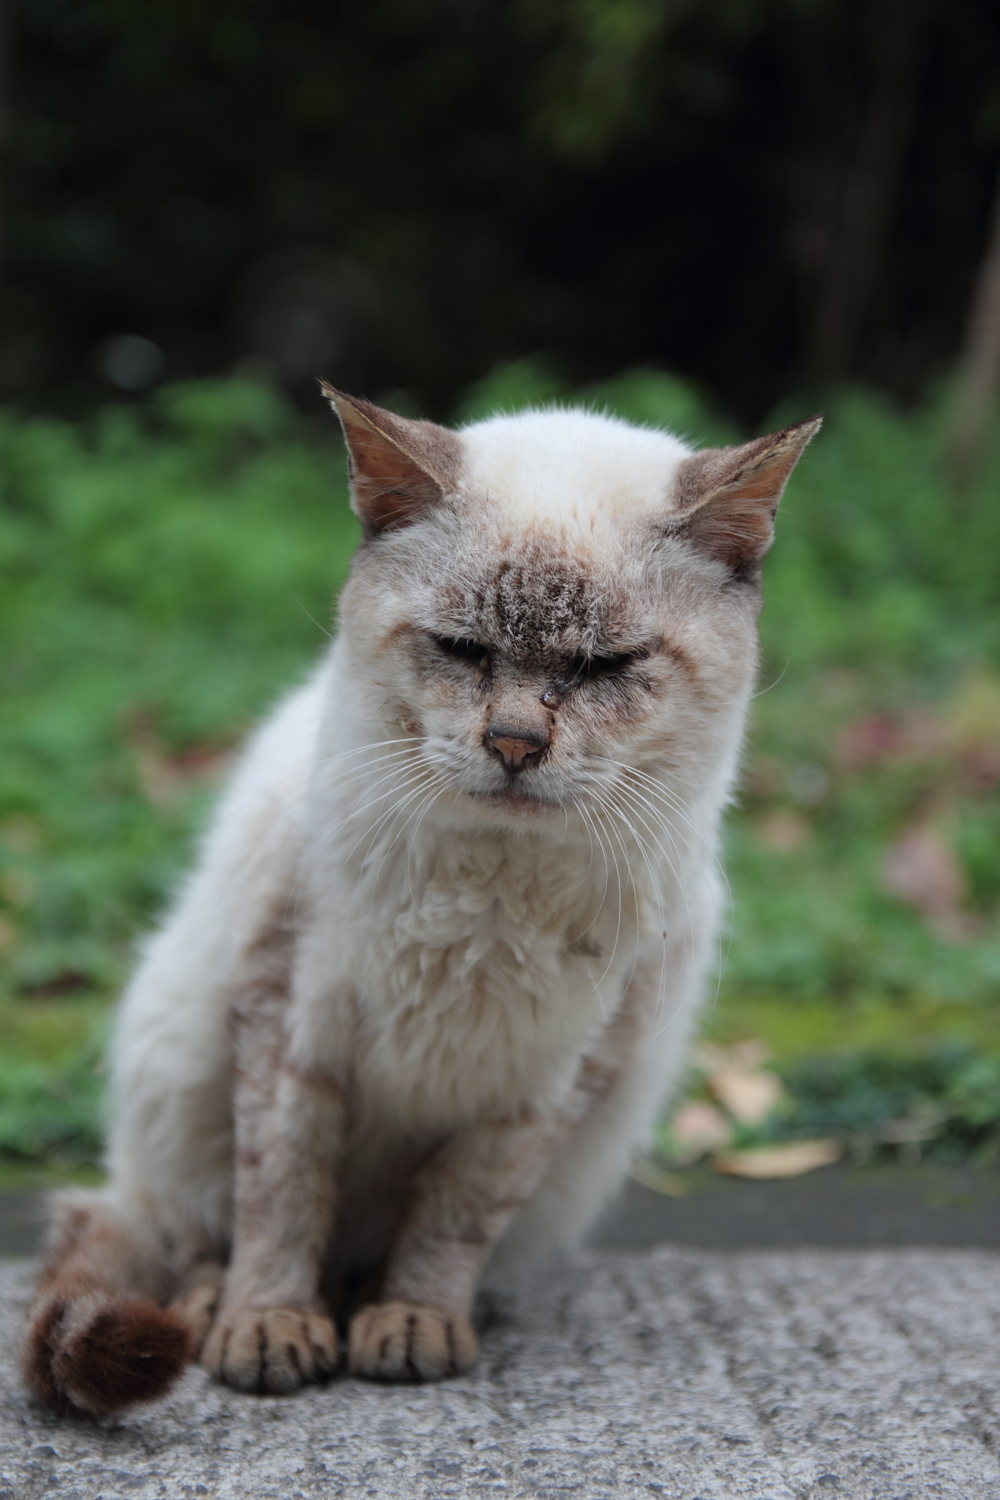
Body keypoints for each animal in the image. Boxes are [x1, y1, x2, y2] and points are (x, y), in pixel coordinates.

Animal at [22, 386, 820, 1418]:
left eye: (602, 667)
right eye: (463, 650)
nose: (515, 744)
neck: (492, 889)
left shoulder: (546, 1087)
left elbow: (451, 1219)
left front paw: (412, 1325)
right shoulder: (289, 1021)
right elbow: (283, 1196)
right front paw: (269, 1333)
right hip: (179, 1076)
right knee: (184, 1239)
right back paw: (219, 1314)